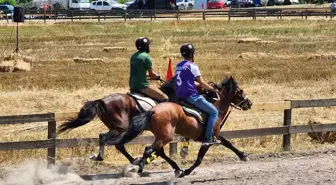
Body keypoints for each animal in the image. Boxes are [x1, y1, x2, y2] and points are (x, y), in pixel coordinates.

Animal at [102, 76, 252, 177]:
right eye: (240, 90)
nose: (249, 103)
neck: (215, 106)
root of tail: (153, 110)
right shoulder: (208, 140)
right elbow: (199, 159)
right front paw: (187, 171)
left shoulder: (214, 135)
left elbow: (228, 143)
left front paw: (243, 156)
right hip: (166, 137)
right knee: (149, 150)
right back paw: (141, 166)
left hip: (161, 136)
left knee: (155, 150)